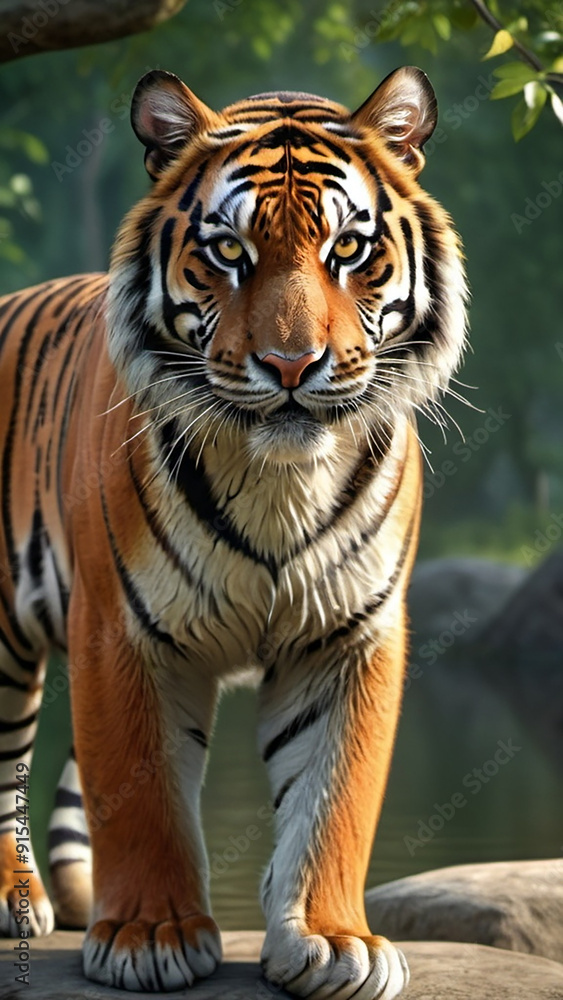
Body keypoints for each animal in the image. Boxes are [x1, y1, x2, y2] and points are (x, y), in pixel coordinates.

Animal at [0, 66, 467, 997]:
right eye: (227, 252)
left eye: (347, 250)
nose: (291, 365)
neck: (278, 480)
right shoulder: (122, 630)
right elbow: (139, 793)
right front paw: (148, 937)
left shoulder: (350, 636)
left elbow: (334, 795)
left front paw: (332, 940)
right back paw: (12, 897)